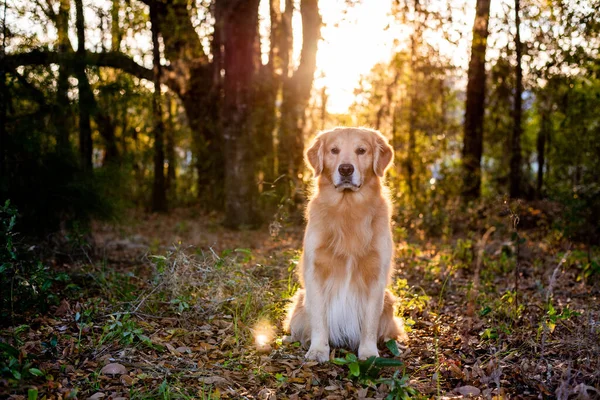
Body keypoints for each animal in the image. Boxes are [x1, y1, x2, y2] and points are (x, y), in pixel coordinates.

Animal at [284, 126, 406, 362]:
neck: (347, 208)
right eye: (334, 150)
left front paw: (368, 353)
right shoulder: (315, 271)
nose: (346, 169)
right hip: (300, 300)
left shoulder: (376, 275)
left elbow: (369, 323)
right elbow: (319, 319)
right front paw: (318, 350)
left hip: (388, 299)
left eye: (361, 150)